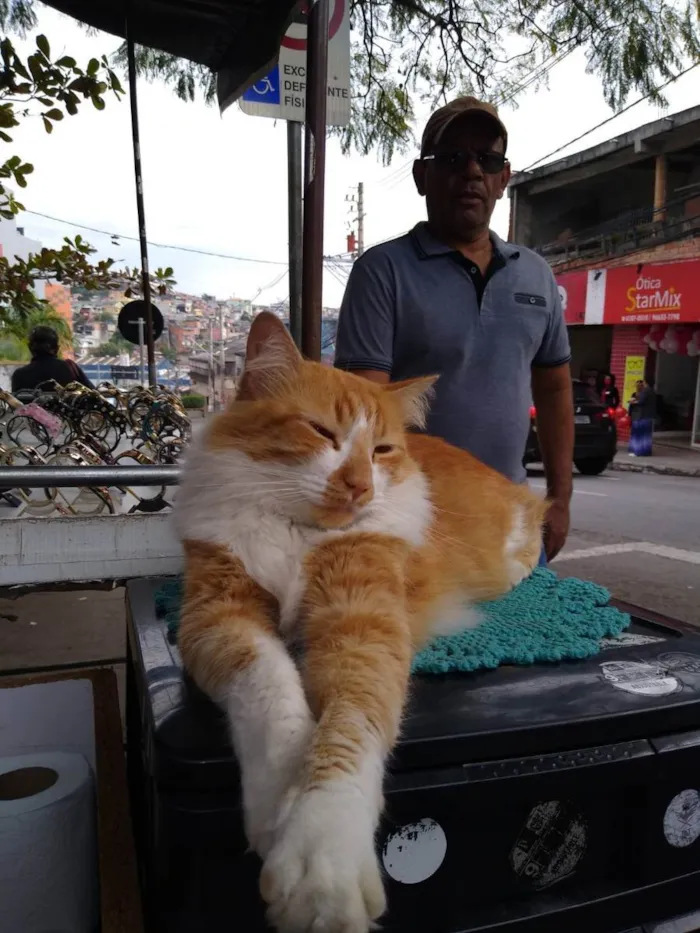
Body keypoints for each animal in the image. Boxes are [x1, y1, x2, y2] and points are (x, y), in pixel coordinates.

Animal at [175, 312, 548, 932]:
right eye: (322, 433)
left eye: (381, 450)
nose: (360, 486)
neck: (299, 534)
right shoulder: (218, 611)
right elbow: (272, 694)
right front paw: (282, 793)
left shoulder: (363, 619)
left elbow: (349, 729)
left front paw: (319, 858)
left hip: (518, 531)